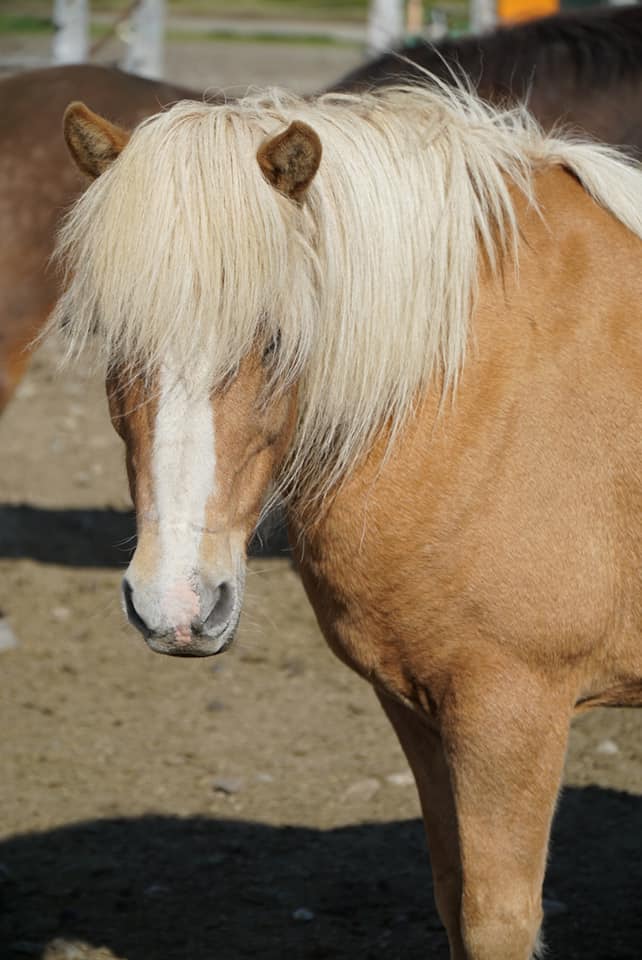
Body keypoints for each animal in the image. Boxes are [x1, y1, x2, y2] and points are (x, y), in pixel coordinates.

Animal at [49, 82, 642, 959]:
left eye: (273, 339)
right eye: (113, 341)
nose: (176, 606)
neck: (471, 386)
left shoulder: (513, 712)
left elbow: (496, 918)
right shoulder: (419, 707)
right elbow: (453, 896)